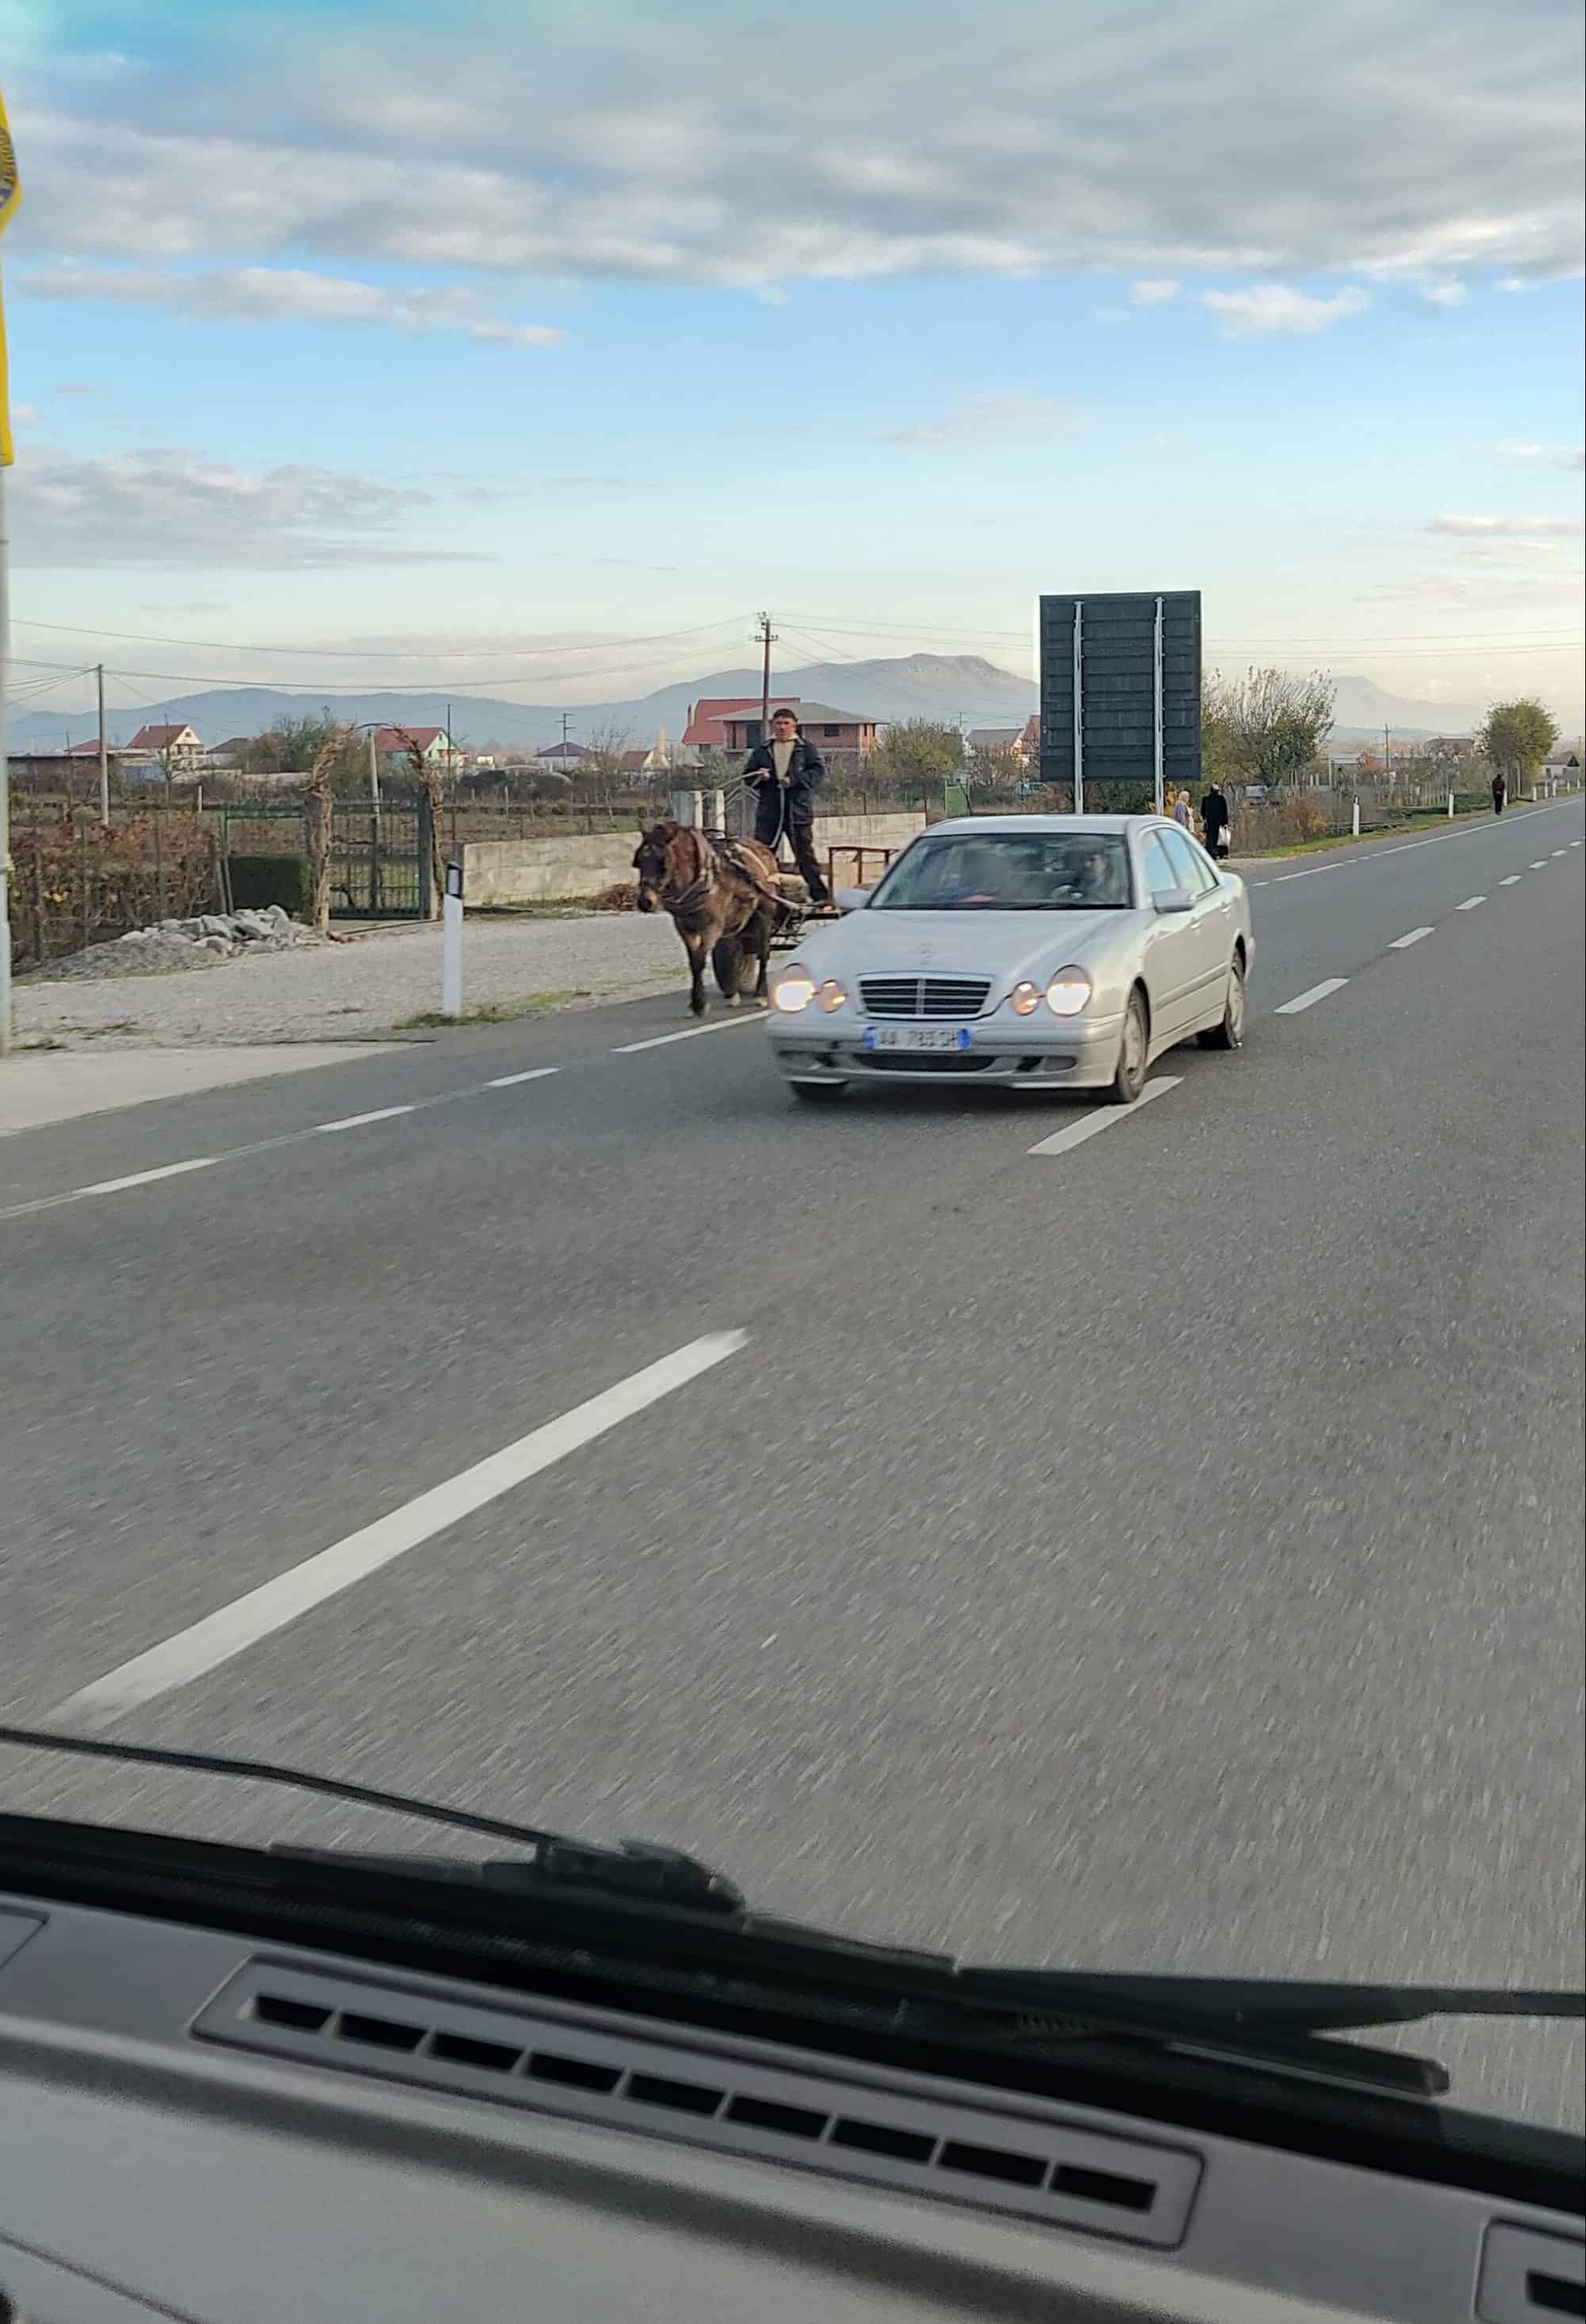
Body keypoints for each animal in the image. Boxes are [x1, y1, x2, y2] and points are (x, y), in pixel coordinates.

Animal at [631, 827, 784, 1027]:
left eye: (663, 863)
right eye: (639, 862)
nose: (645, 902)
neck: (702, 881)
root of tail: (764, 849)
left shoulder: (712, 927)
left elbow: (699, 961)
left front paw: (699, 1005)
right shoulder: (685, 928)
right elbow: (693, 962)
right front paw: (695, 1005)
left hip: (764, 913)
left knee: (764, 951)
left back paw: (761, 994)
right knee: (735, 950)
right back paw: (733, 993)